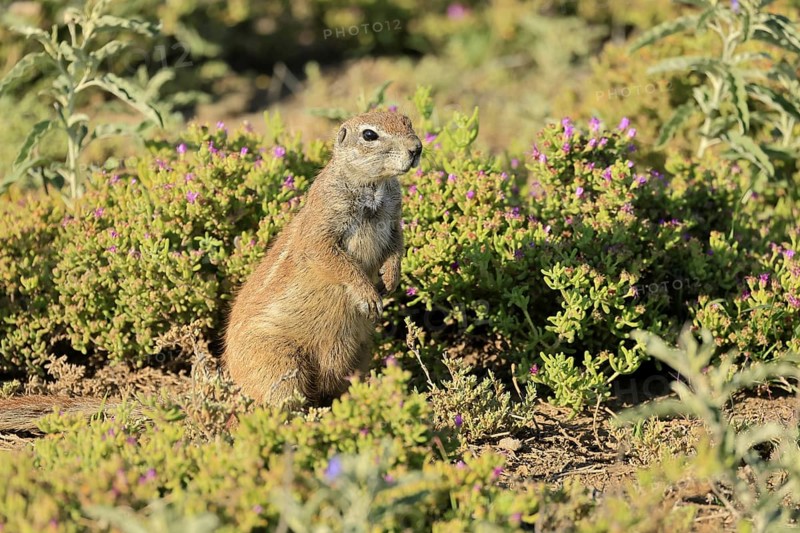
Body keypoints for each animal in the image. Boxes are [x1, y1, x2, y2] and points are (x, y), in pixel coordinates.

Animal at [0, 111, 422, 431]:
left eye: (406, 120)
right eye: (370, 134)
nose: (417, 148)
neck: (374, 188)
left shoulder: (395, 222)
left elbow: (397, 248)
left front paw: (390, 279)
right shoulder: (323, 229)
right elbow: (334, 261)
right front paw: (368, 294)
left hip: (359, 354)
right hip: (280, 365)